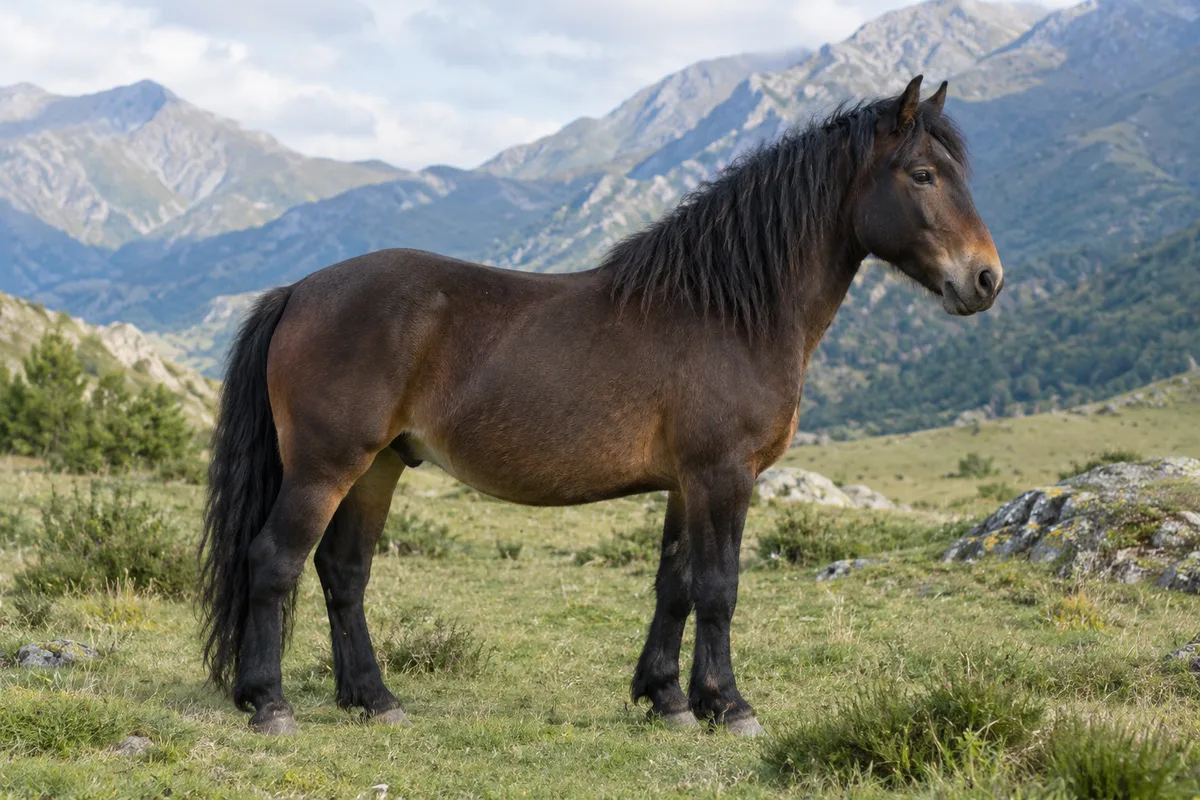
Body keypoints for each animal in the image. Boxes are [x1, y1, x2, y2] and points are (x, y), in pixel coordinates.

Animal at [199, 75, 1003, 736]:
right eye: (924, 174)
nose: (986, 279)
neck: (728, 311)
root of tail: (298, 289)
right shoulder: (723, 474)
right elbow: (719, 587)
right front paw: (729, 706)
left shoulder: (686, 483)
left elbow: (675, 586)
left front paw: (668, 698)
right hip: (326, 466)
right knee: (274, 561)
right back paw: (269, 704)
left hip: (377, 468)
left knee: (344, 573)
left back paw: (374, 699)